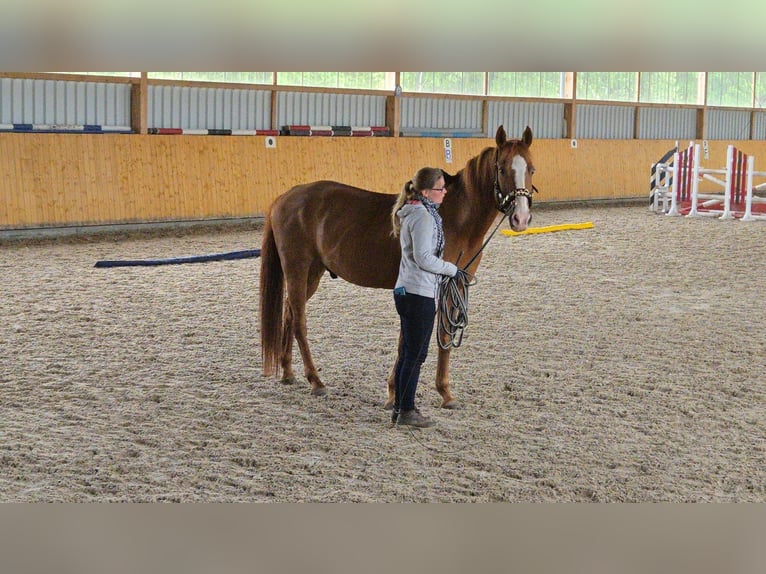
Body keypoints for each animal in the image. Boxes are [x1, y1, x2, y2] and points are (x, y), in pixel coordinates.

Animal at [260, 125, 535, 409]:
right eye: (502, 169)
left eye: (532, 169)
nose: (521, 218)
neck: (455, 217)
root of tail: (284, 198)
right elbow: (420, 337)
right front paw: (403, 392)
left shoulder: (456, 283)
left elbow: (440, 337)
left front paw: (442, 393)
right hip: (297, 269)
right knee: (299, 322)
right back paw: (316, 381)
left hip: (312, 274)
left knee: (289, 314)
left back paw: (288, 373)